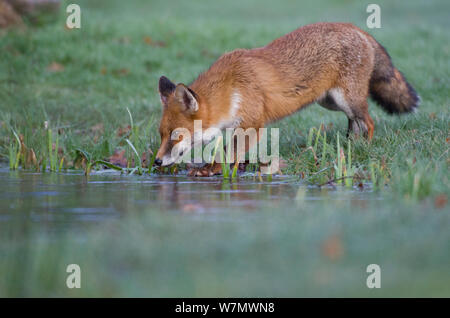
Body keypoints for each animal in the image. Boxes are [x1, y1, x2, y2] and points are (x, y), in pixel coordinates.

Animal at [155, 22, 418, 176]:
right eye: (161, 135)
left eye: (175, 135)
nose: (156, 162)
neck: (230, 89)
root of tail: (356, 28)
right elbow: (230, 150)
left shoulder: (251, 124)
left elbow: (229, 152)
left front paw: (213, 169)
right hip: (331, 102)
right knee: (355, 124)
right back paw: (350, 146)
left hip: (347, 99)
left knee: (369, 123)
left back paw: (365, 147)